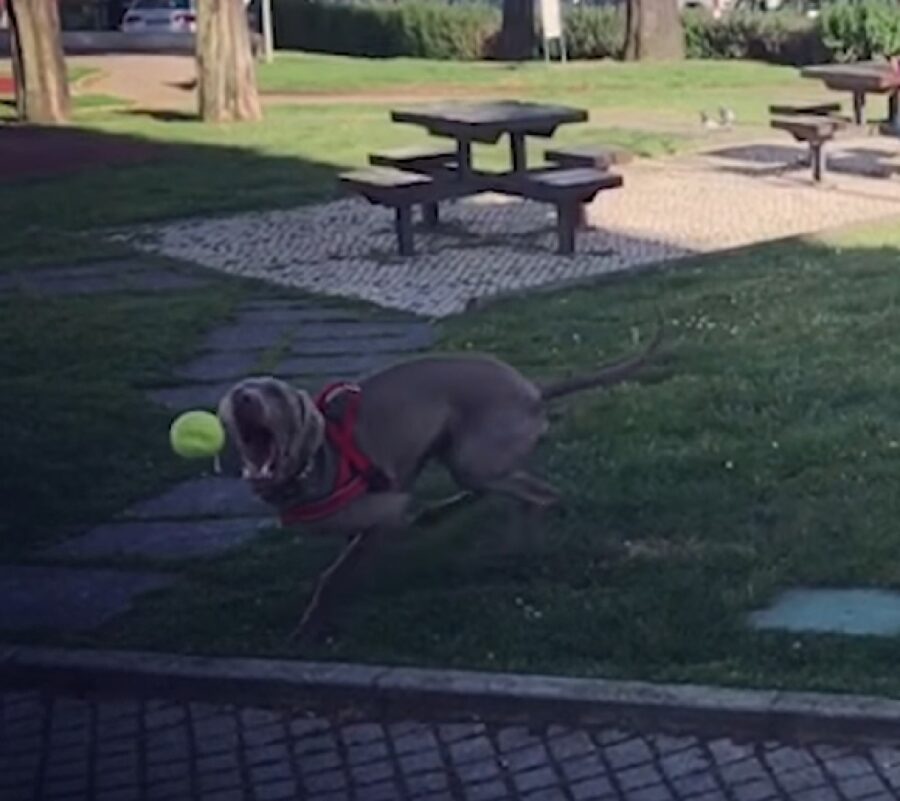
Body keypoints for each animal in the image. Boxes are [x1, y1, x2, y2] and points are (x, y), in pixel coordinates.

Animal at [221, 322, 664, 640]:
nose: (243, 397)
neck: (317, 463)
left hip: (471, 458)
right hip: (459, 452)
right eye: (236, 391)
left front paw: (309, 626)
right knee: (500, 493)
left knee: (541, 494)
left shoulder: (388, 512)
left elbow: (334, 575)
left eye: (276, 393)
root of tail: (533, 389)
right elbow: (348, 558)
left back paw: (519, 544)